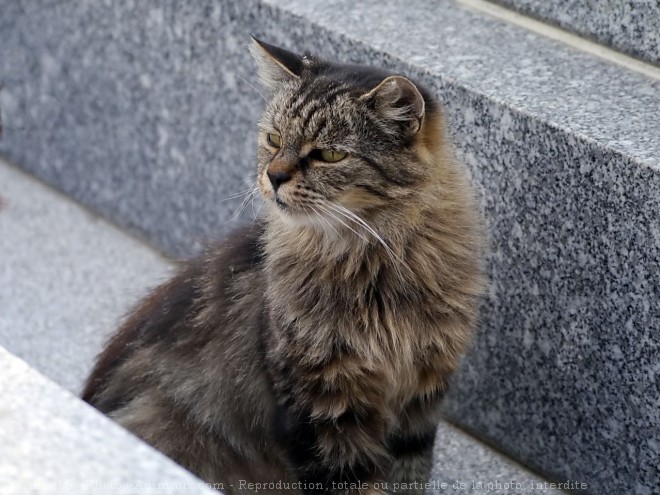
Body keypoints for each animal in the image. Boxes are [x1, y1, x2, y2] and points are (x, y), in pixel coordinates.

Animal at [82, 36, 484, 494]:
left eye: (330, 154)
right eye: (274, 138)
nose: (273, 176)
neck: (374, 265)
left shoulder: (421, 395)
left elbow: (409, 473)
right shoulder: (321, 402)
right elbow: (350, 479)